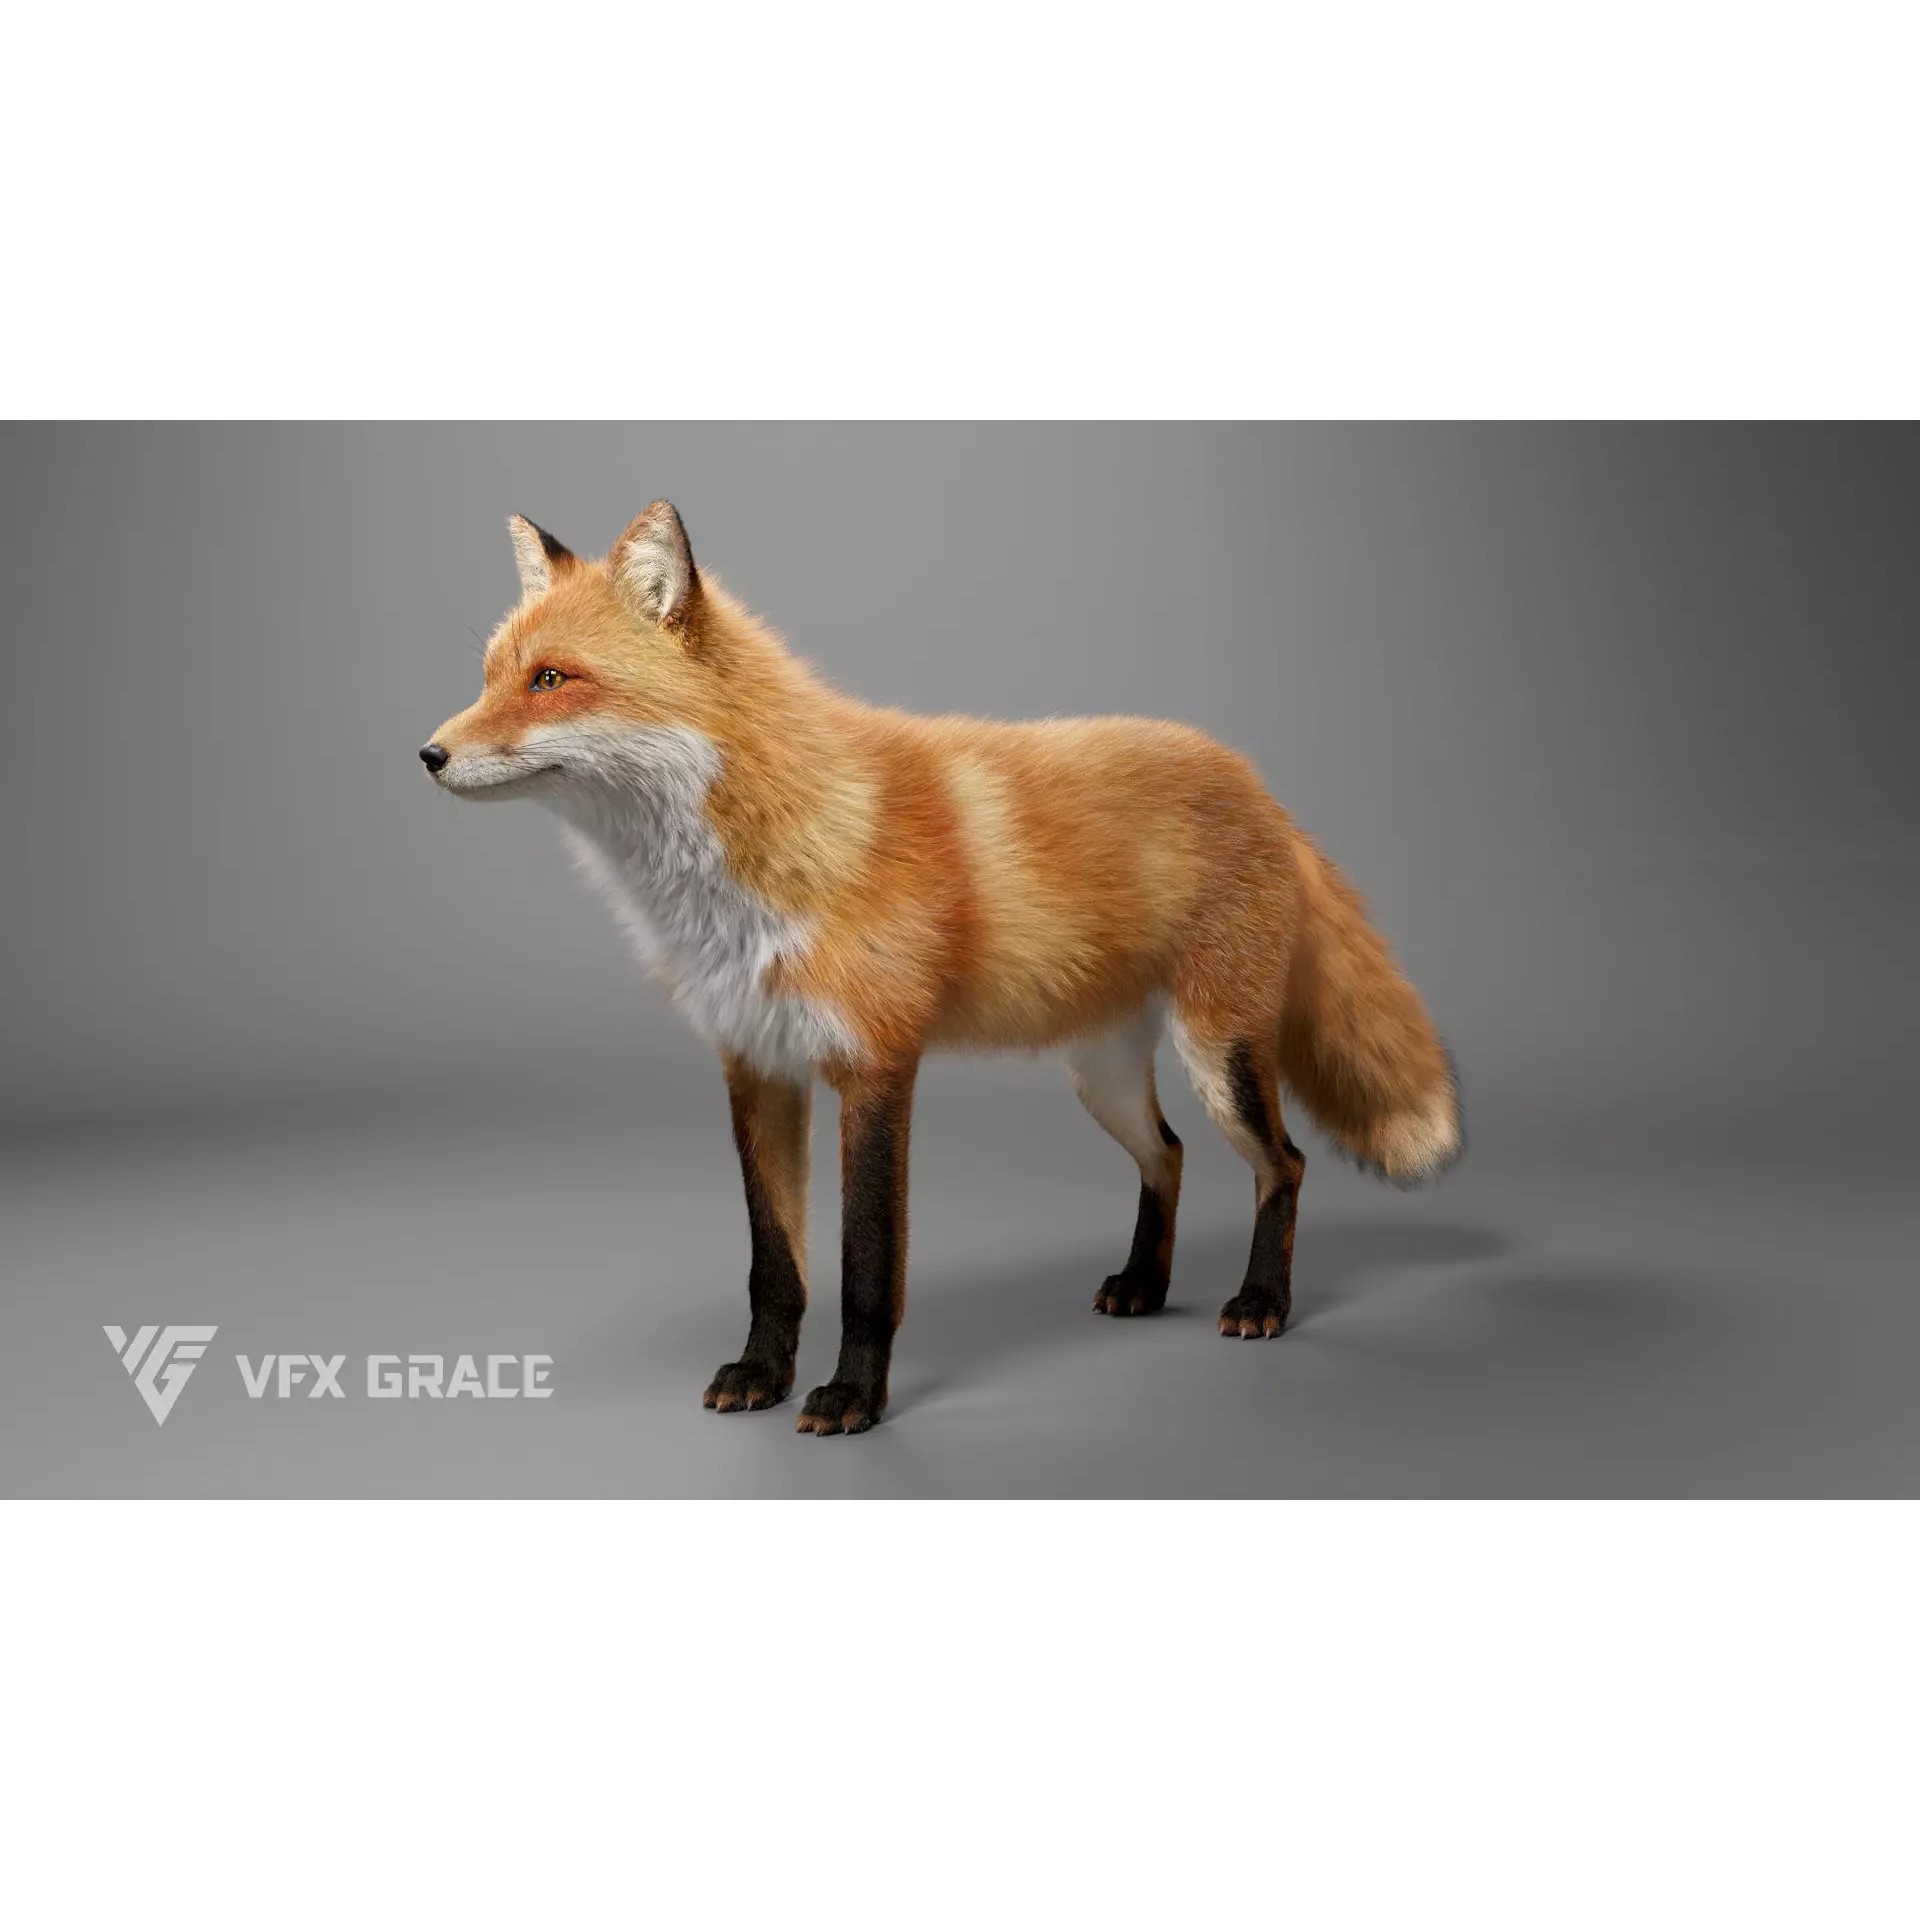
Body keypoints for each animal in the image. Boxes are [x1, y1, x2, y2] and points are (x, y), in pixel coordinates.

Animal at [422, 502, 1462, 1434]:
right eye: (489, 677)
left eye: (551, 679)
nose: (427, 754)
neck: (755, 867)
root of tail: (1258, 784)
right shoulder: (758, 1068)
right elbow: (774, 1263)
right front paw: (763, 1375)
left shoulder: (876, 1066)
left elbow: (866, 1265)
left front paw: (853, 1398)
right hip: (1103, 1076)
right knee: (1167, 1153)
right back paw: (1144, 1284)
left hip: (1222, 1060)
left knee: (1283, 1164)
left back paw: (1263, 1302)